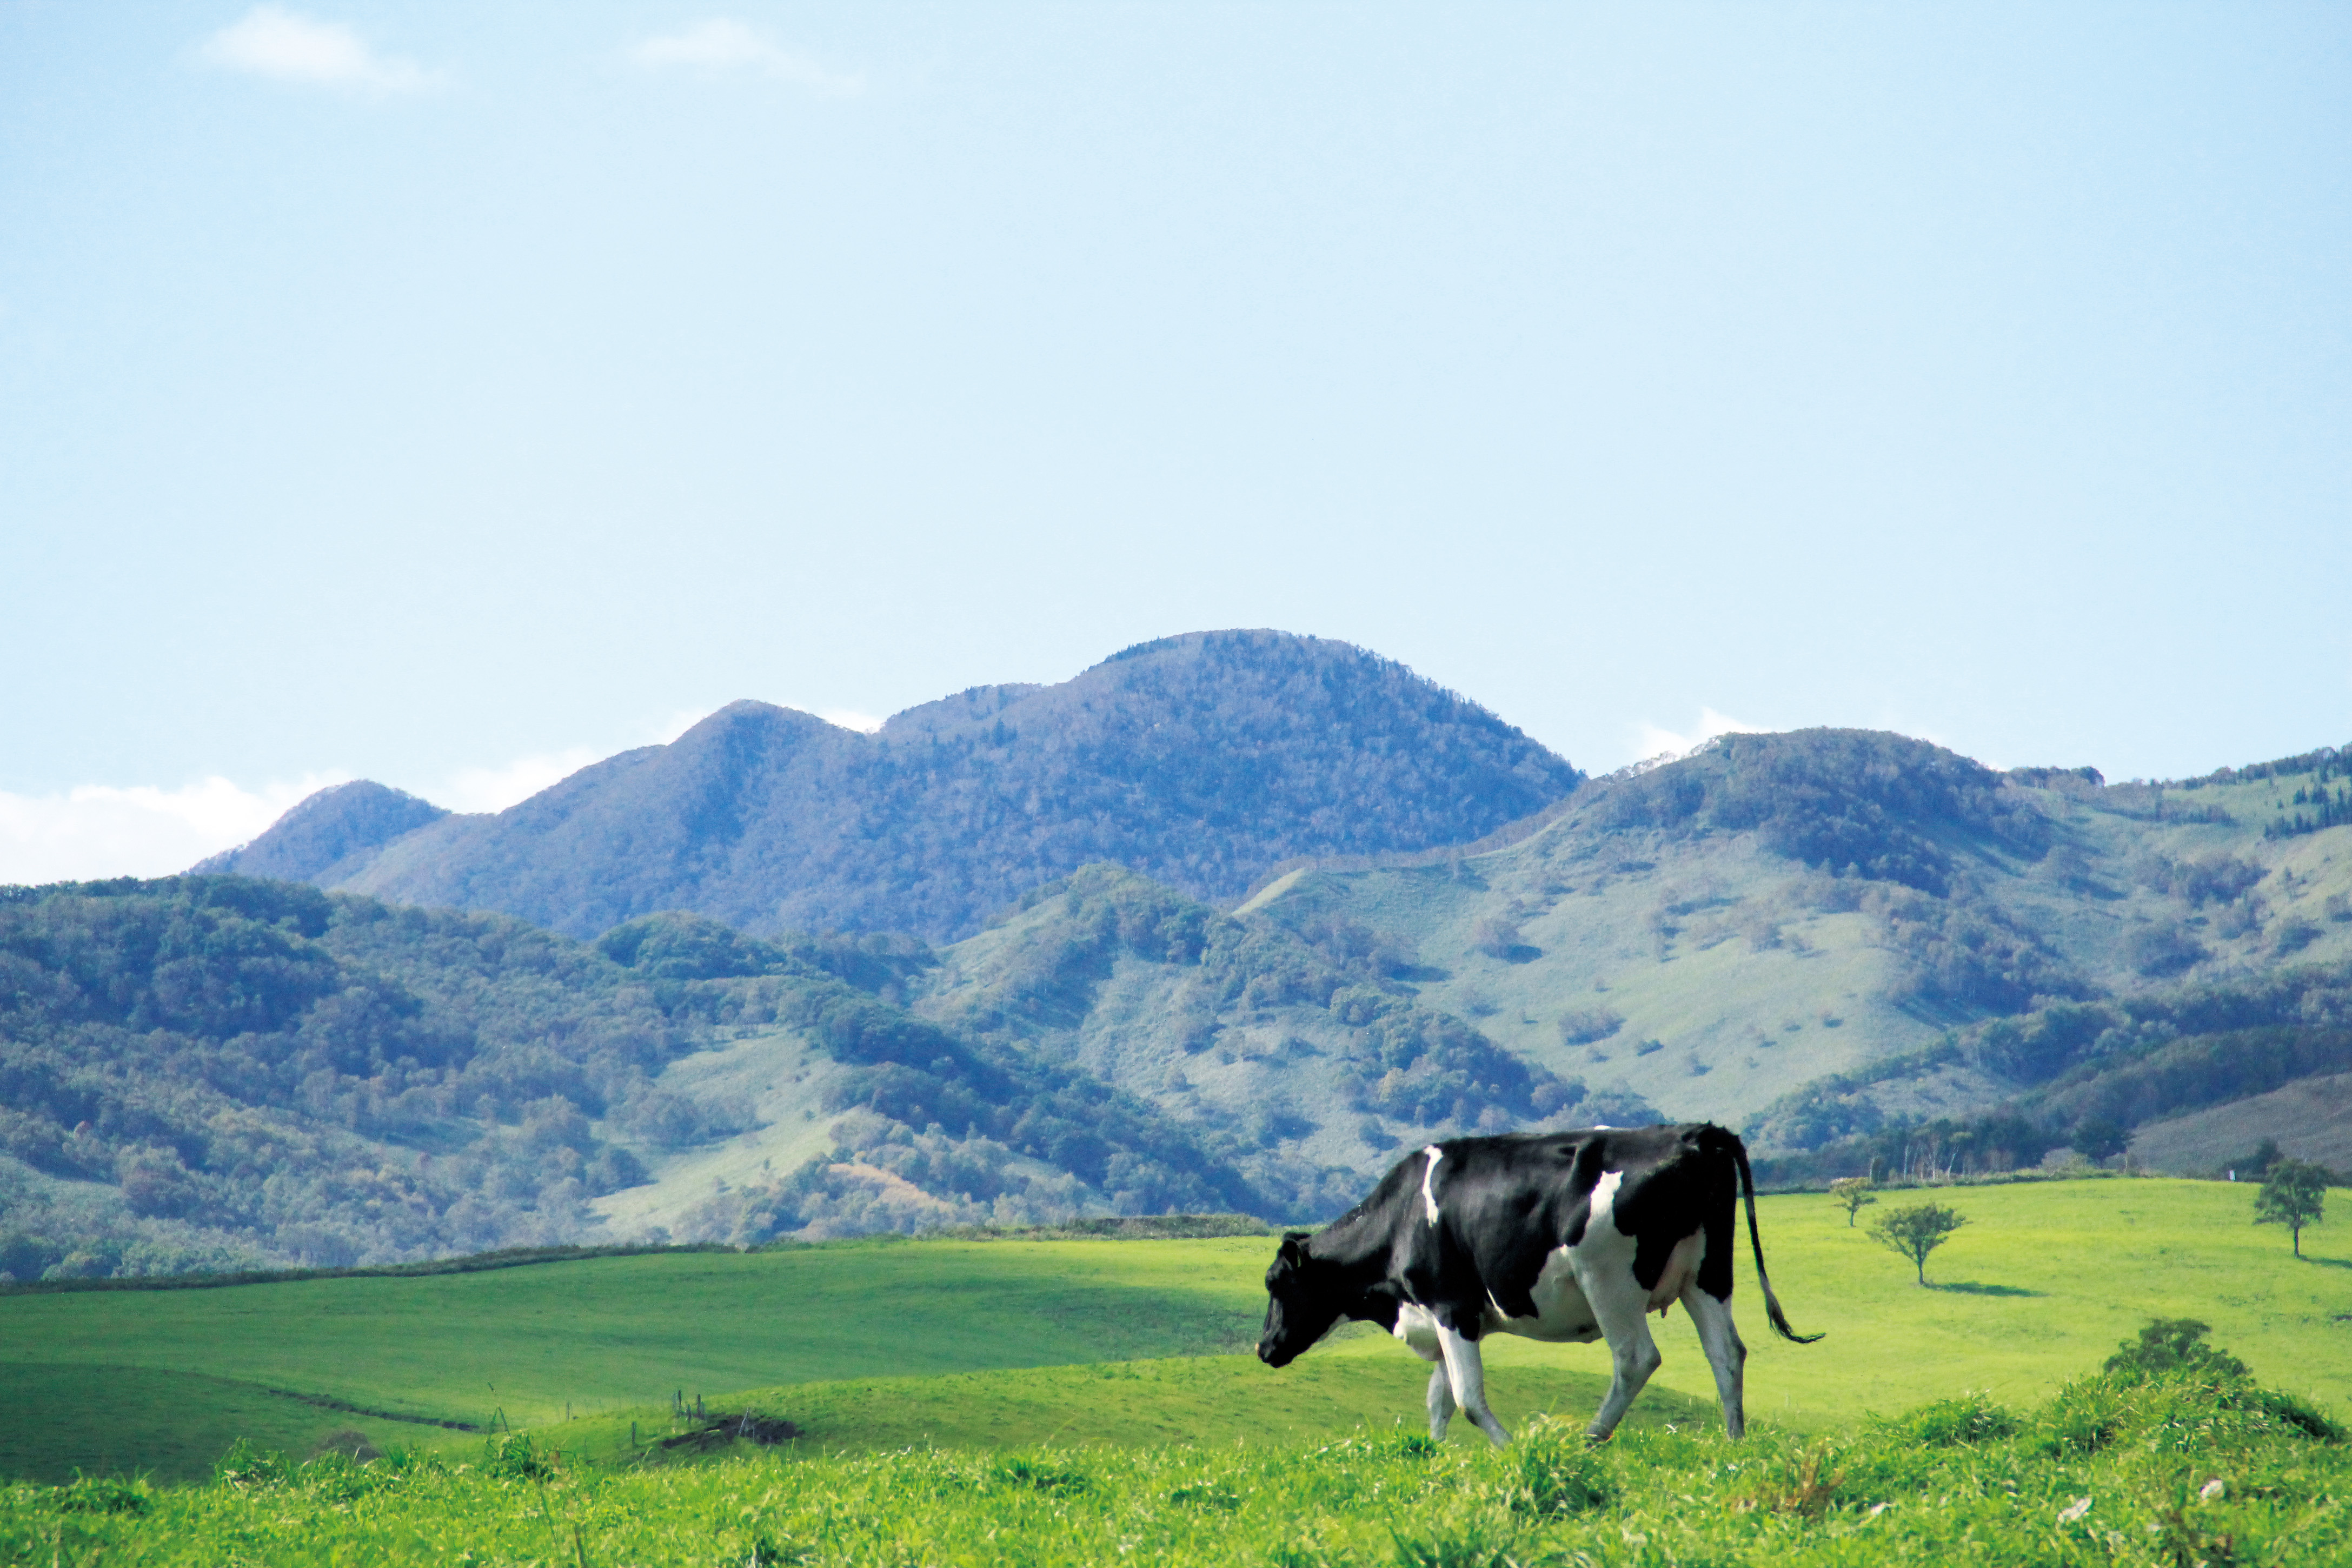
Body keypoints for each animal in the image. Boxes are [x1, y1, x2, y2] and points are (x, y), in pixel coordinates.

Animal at [1260, 1124, 1806, 1438]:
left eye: (1275, 1285)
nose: (1264, 1348)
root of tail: (1698, 1134)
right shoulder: (1441, 1319)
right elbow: (1439, 1403)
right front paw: (1434, 1462)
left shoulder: (1450, 1307)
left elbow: (1468, 1399)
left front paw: (1508, 1453)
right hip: (1707, 1274)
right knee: (1726, 1353)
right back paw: (1734, 1445)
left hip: (1608, 1279)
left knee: (1636, 1358)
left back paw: (1590, 1440)